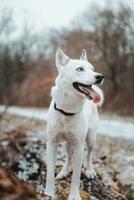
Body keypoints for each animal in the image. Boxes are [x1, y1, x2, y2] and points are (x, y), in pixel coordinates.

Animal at [45, 48, 103, 200]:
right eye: (79, 69)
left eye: (92, 69)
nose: (100, 76)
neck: (67, 111)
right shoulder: (52, 143)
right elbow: (49, 173)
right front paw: (48, 193)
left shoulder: (78, 146)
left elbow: (76, 176)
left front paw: (74, 196)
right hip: (67, 143)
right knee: (68, 156)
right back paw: (63, 172)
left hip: (91, 138)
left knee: (89, 154)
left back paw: (90, 170)